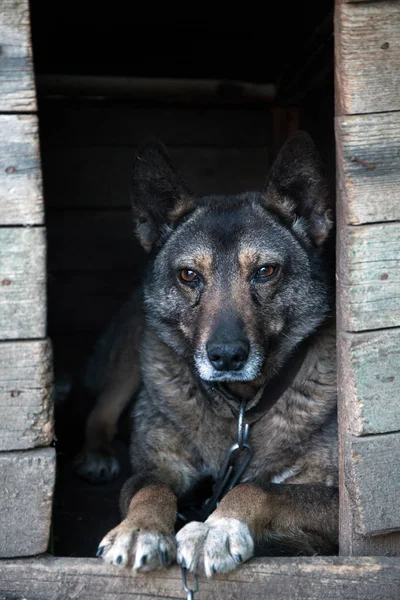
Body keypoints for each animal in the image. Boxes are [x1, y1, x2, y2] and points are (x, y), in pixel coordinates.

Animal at [76, 132, 338, 576]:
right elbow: (150, 488)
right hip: (133, 352)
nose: (227, 356)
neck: (240, 407)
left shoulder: (339, 499)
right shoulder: (157, 468)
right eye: (189, 275)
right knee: (100, 411)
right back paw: (96, 454)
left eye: (265, 271)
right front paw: (139, 529)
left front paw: (216, 527)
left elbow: (259, 489)